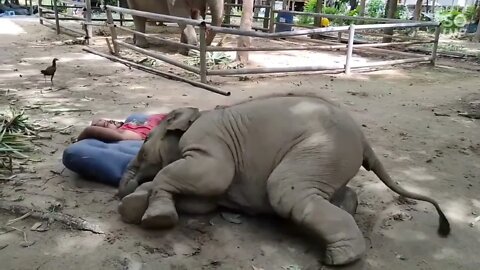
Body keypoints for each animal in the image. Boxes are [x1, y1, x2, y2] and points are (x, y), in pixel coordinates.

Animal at [116, 92, 450, 266]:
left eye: (143, 145)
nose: (118, 192)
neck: (197, 113)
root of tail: (364, 139)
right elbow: (202, 201)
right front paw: (134, 206)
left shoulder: (208, 143)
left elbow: (212, 176)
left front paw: (153, 218)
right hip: (330, 158)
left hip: (322, 147)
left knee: (286, 192)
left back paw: (339, 259)